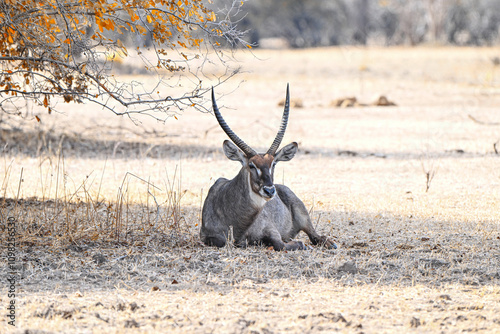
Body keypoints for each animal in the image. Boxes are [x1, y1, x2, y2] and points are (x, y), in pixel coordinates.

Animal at [199, 86, 336, 250]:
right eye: (251, 165)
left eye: (274, 164)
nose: (269, 191)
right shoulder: (206, 235)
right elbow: (221, 241)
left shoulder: (271, 229)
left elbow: (279, 244)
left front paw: (300, 244)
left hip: (303, 215)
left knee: (314, 236)